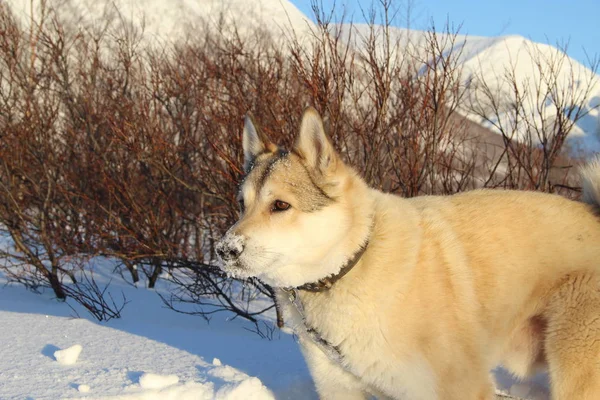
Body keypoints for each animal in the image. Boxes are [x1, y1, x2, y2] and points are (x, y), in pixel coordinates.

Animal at [218, 107, 600, 400]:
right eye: (241, 204)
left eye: (280, 205)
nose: (224, 250)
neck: (352, 264)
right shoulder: (342, 387)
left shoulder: (461, 387)